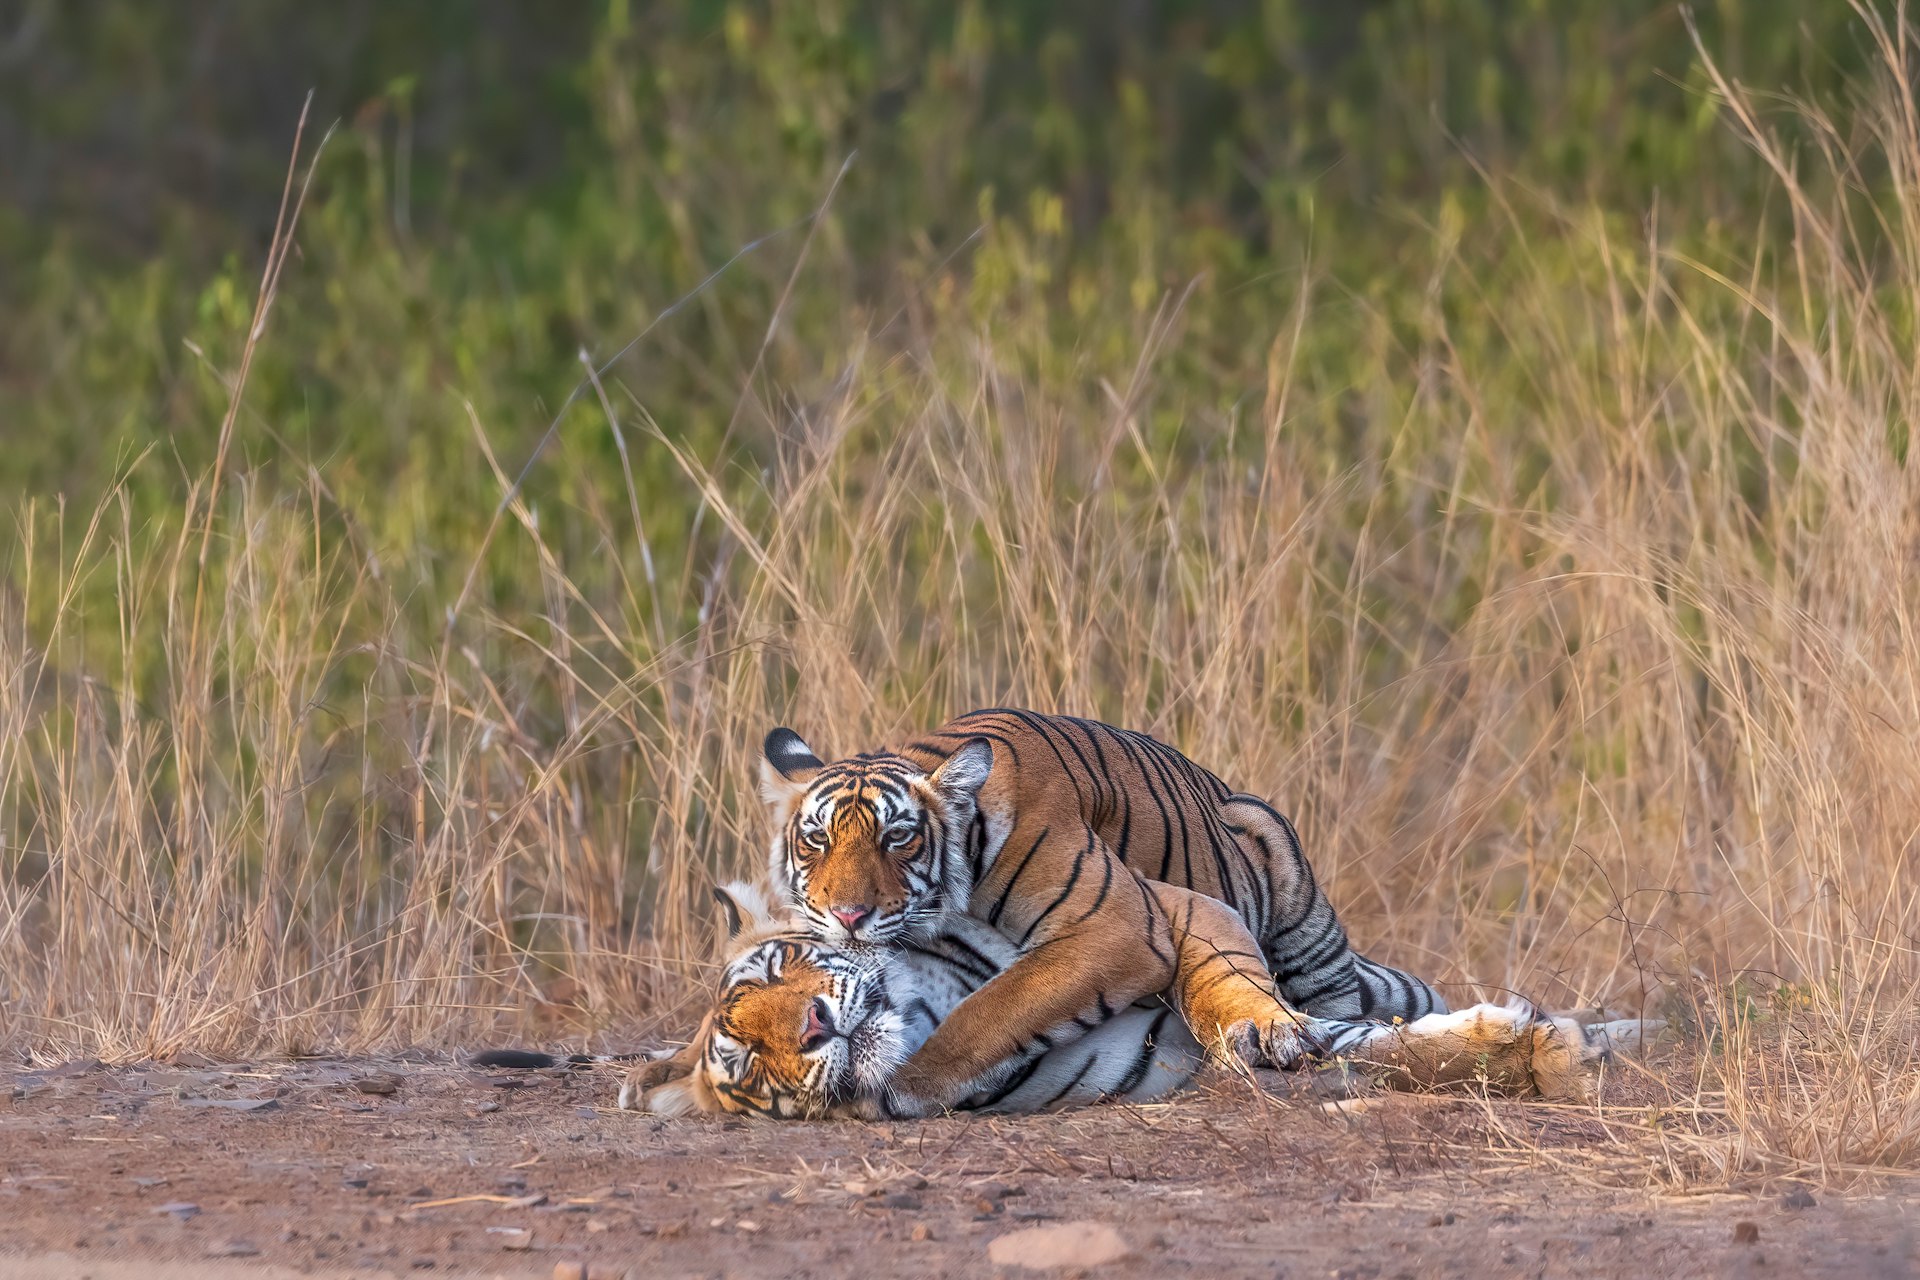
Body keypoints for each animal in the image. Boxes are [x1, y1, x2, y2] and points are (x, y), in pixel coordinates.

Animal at [755, 709, 1471, 1114]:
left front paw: (904, 1082)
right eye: (816, 839)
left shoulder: (1116, 925)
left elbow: (994, 1008)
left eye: (898, 838)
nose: (848, 916)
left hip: (1292, 898)